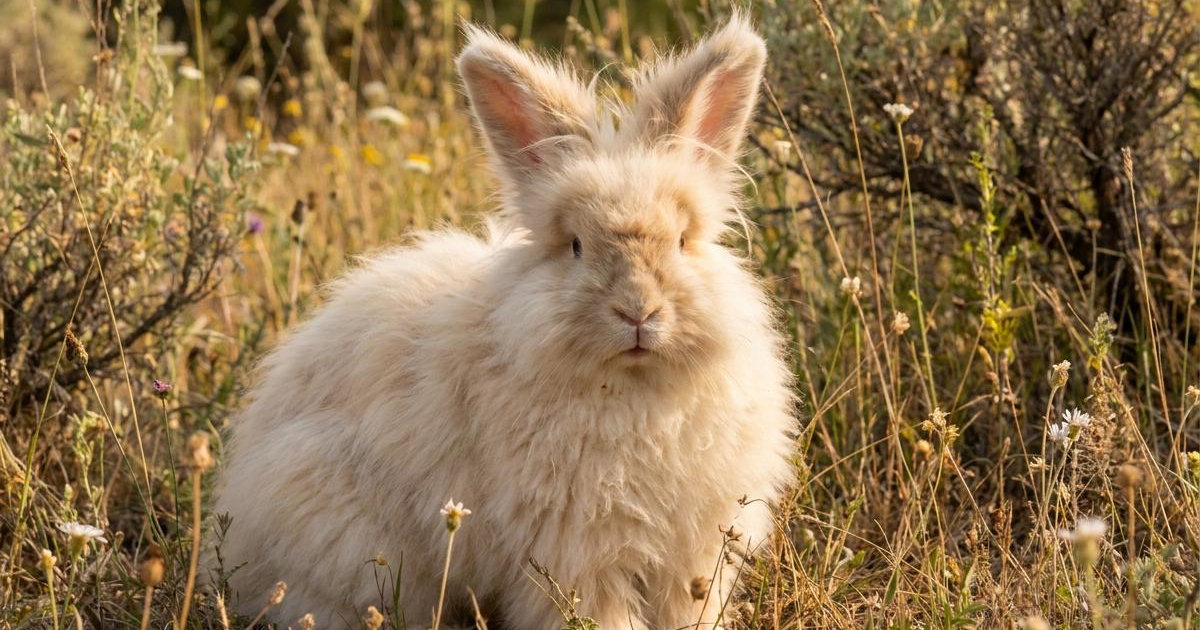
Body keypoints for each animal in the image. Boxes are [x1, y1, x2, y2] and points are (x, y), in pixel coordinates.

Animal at [214, 13, 795, 630]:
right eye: (575, 245)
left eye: (683, 241)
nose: (638, 311)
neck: (633, 387)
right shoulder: (578, 551)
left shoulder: (693, 557)